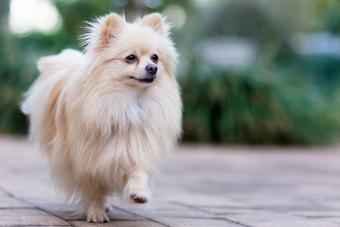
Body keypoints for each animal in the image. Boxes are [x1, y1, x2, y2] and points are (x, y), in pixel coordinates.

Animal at [20, 12, 181, 222]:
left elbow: (138, 171)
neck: (127, 102)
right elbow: (93, 190)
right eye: (131, 58)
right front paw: (96, 212)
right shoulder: (86, 161)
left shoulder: (136, 147)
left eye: (155, 57)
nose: (152, 67)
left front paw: (138, 193)